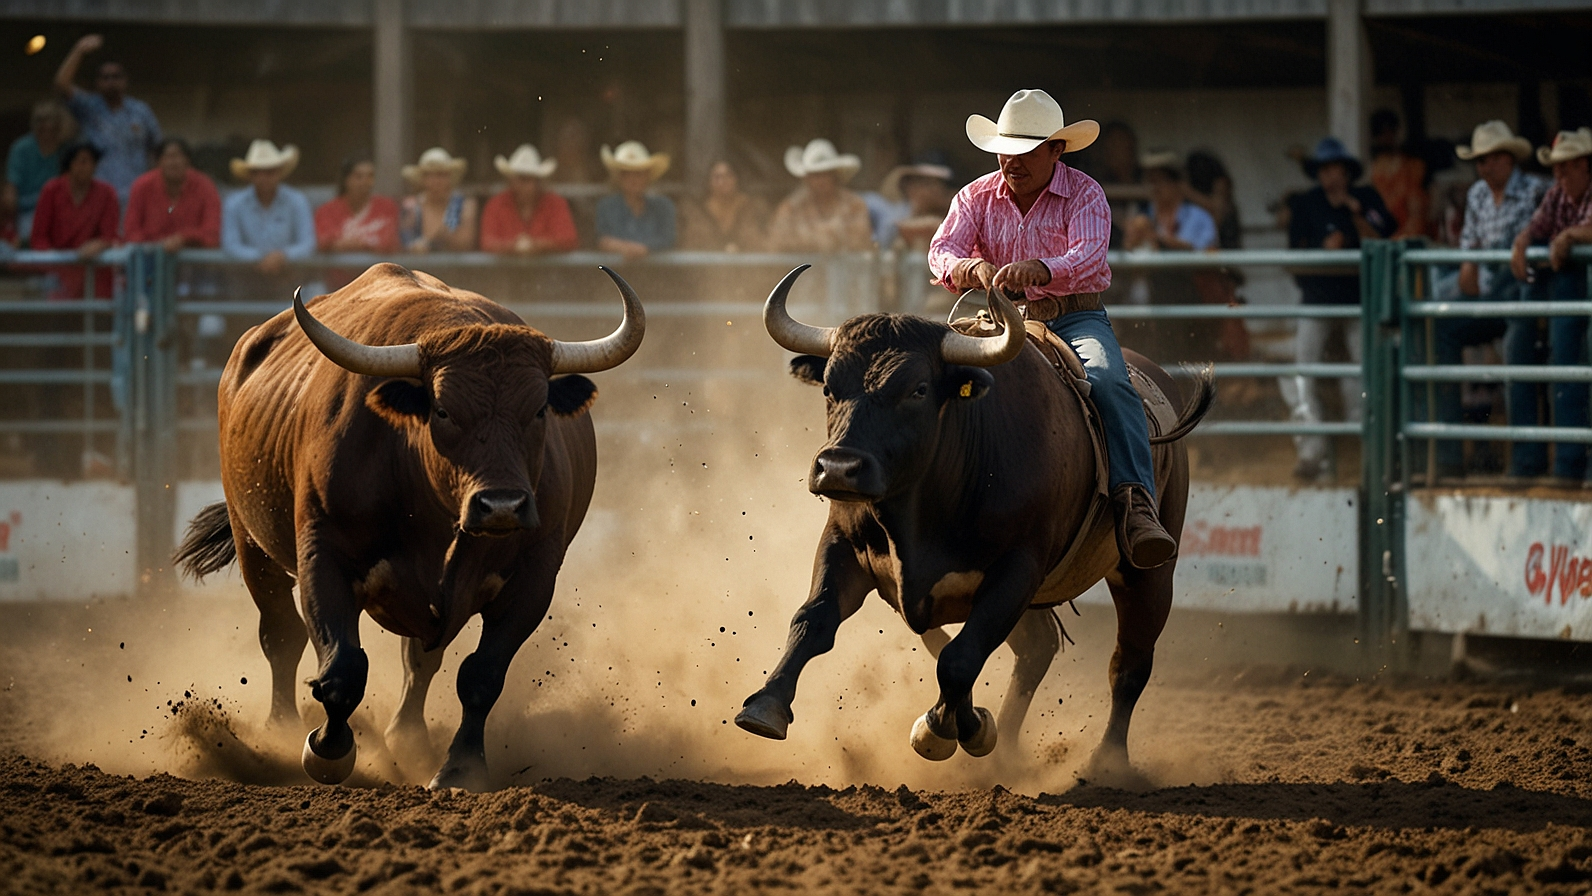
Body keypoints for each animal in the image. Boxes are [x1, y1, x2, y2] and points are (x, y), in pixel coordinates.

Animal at [171, 262, 643, 789]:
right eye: (443, 409)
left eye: (539, 408)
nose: (501, 505)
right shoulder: (322, 554)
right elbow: (342, 666)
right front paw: (327, 750)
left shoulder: (533, 579)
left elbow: (481, 676)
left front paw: (461, 767)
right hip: (250, 539)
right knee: (281, 635)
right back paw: (278, 730)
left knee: (419, 660)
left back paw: (407, 736)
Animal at [738, 265, 1209, 779]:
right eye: (828, 388)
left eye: (918, 389)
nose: (838, 468)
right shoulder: (843, 543)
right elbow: (814, 618)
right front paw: (765, 705)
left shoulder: (1017, 568)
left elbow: (959, 657)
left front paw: (944, 729)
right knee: (1038, 650)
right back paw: (1005, 757)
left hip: (1147, 570)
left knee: (1129, 662)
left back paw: (1107, 761)